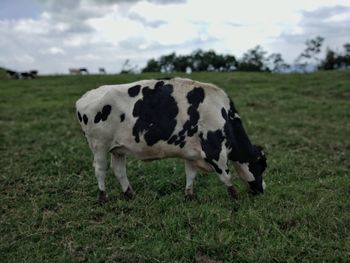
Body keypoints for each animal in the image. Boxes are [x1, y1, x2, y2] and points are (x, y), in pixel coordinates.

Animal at [75, 77, 266, 203]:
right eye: (262, 165)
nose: (262, 189)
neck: (223, 114)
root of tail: (87, 96)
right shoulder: (215, 151)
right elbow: (226, 175)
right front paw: (235, 196)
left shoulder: (191, 153)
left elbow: (191, 174)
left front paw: (189, 195)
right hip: (99, 146)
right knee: (100, 170)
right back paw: (103, 197)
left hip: (118, 149)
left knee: (119, 170)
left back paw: (130, 194)